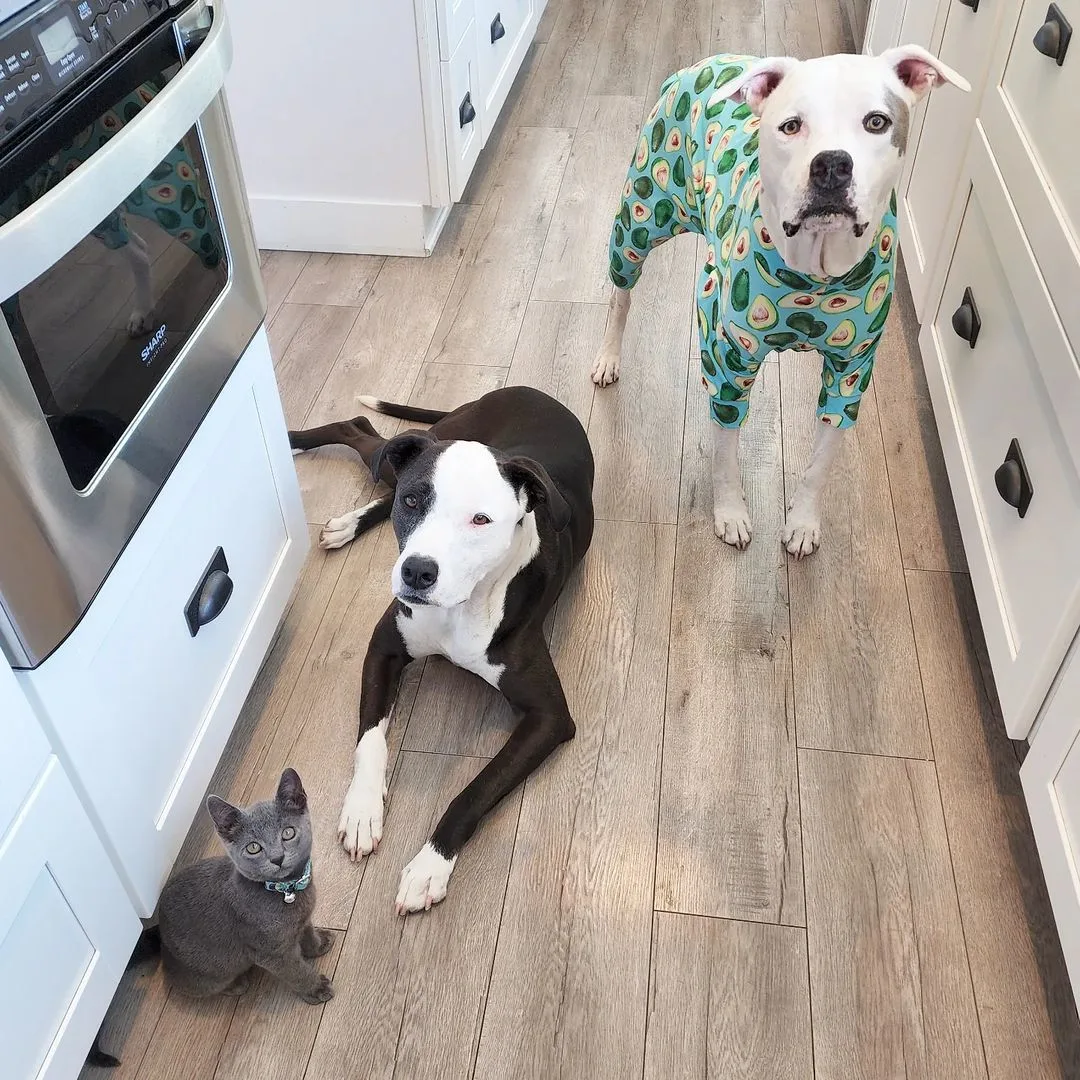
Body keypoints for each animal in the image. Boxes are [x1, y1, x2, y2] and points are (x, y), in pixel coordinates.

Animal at [156, 768, 332, 1002]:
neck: (288, 889)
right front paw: (316, 988)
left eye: (288, 833)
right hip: (211, 972)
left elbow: (308, 931)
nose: (277, 858)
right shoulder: (271, 952)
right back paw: (236, 985)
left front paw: (319, 944)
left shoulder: (303, 920)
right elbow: (295, 971)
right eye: (253, 848)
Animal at [287, 388, 596, 911]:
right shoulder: (384, 647)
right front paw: (362, 811)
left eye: (481, 520)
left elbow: (473, 791)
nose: (416, 571)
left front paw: (430, 865)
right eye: (416, 502)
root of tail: (524, 389)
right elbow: (370, 739)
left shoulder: (550, 718)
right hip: (404, 457)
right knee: (363, 438)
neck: (461, 606)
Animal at [591, 48, 972, 557]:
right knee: (622, 293)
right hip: (640, 217)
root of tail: (705, 61)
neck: (814, 274)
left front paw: (804, 522)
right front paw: (731, 513)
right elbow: (725, 449)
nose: (832, 165)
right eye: (791, 126)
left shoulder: (850, 372)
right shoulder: (728, 361)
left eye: (877, 122)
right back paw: (608, 356)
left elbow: (821, 462)